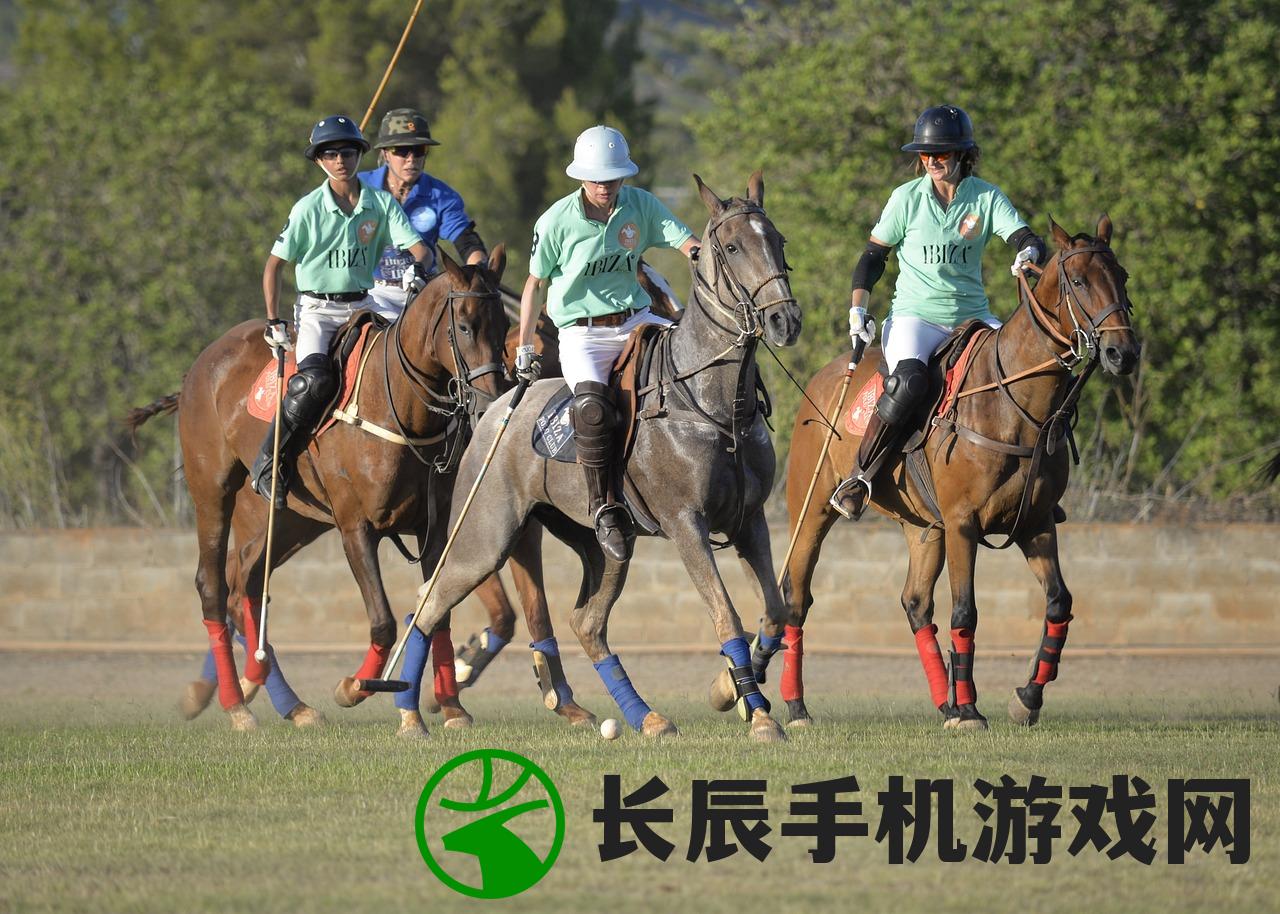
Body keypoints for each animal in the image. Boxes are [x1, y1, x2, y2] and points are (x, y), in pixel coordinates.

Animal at [127, 245, 591, 732]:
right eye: (464, 325)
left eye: (503, 327)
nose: (493, 405)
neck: (400, 407)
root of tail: (200, 365)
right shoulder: (358, 527)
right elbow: (388, 620)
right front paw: (358, 688)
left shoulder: (436, 529)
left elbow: (448, 613)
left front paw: (455, 706)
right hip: (213, 490)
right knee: (214, 585)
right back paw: (236, 704)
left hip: (294, 519)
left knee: (246, 586)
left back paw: (286, 701)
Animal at [386, 172, 798, 742]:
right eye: (733, 247)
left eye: (777, 240)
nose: (784, 320)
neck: (713, 401)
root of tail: (497, 407)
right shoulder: (686, 523)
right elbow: (727, 616)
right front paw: (757, 714)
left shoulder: (749, 518)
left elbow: (776, 611)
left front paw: (727, 691)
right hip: (484, 536)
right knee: (430, 600)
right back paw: (409, 715)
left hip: (605, 547)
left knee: (587, 622)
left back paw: (645, 716)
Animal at [752, 213, 1136, 727]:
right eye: (1077, 281)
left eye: (1123, 276)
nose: (1123, 353)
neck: (1017, 406)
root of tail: (829, 374)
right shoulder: (962, 522)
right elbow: (965, 612)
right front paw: (972, 709)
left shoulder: (1035, 522)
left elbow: (1059, 602)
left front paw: (1025, 698)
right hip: (812, 505)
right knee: (797, 594)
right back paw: (796, 705)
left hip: (923, 528)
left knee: (915, 602)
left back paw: (944, 702)